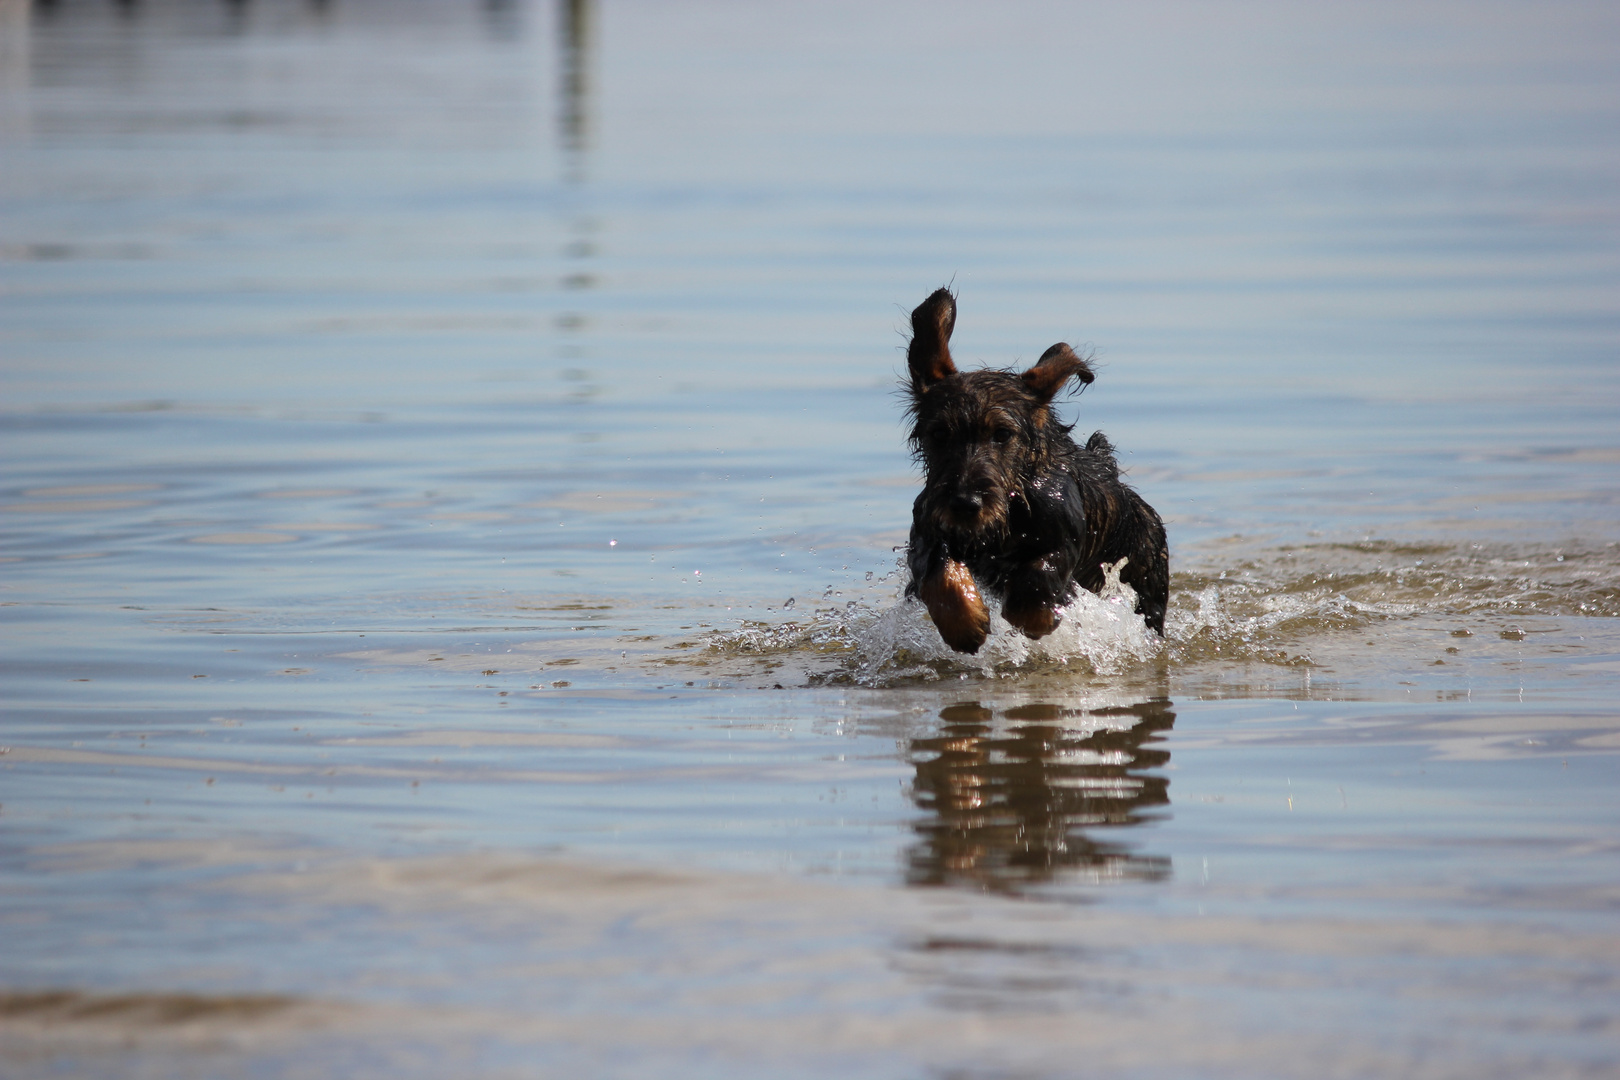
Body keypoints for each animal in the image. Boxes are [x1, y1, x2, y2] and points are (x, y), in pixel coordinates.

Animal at [900, 286, 1166, 654]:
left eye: (1002, 434)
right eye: (938, 434)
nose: (966, 504)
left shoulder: (1061, 544)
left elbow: (1038, 579)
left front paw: (1037, 619)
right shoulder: (927, 532)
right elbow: (939, 570)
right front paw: (964, 625)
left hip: (1148, 580)